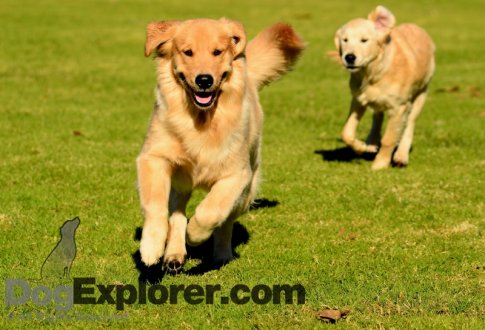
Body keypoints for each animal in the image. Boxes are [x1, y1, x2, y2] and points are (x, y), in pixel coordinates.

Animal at [136, 16, 302, 272]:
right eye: (188, 52)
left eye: (217, 52)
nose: (204, 80)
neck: (202, 120)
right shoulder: (153, 157)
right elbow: (156, 206)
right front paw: (151, 247)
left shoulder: (237, 174)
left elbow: (211, 212)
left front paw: (195, 234)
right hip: (180, 185)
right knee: (177, 214)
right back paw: (174, 255)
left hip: (246, 192)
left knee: (226, 222)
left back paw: (221, 254)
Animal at [332, 5, 434, 170]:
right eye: (345, 40)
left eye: (364, 40)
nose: (349, 57)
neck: (374, 72)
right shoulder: (358, 99)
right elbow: (346, 132)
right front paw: (360, 147)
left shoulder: (399, 108)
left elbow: (389, 138)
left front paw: (379, 165)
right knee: (377, 117)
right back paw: (371, 143)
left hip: (421, 93)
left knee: (410, 123)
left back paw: (401, 156)